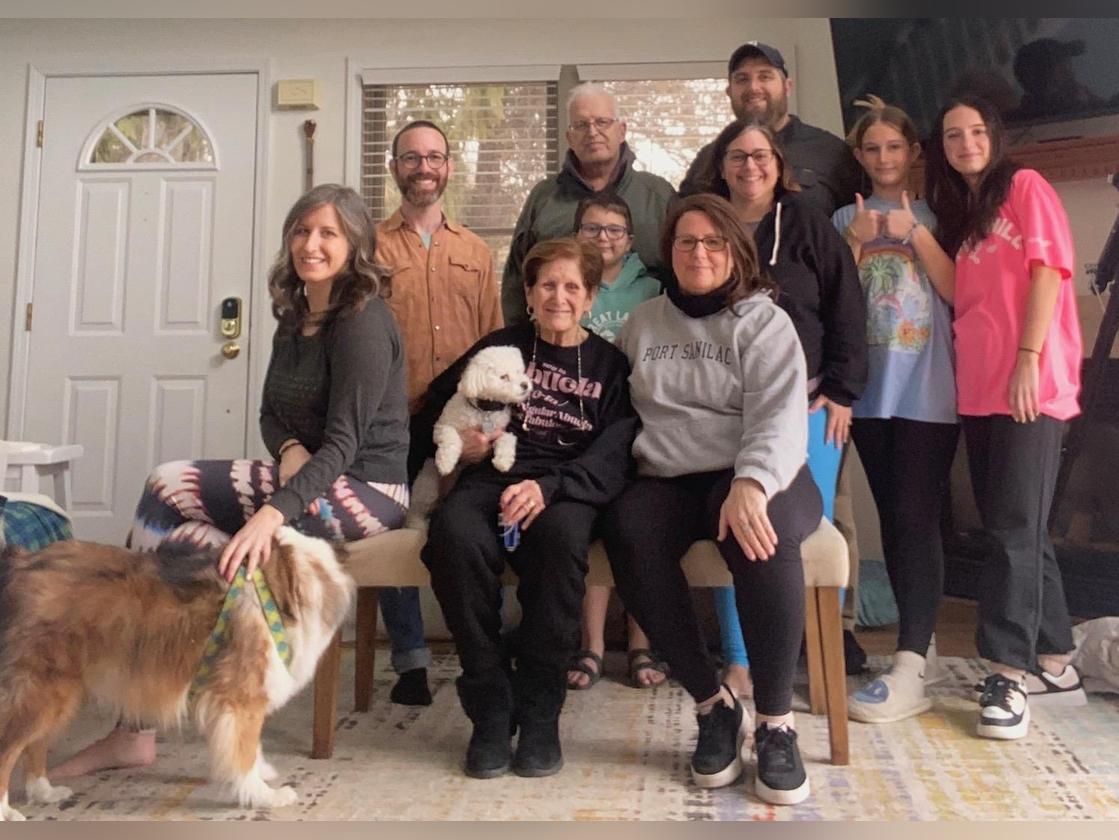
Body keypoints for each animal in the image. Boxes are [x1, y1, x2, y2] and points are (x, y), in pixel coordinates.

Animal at [0, 526, 355, 820]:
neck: (273, 585)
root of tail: (21, 562)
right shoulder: (241, 698)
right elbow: (243, 751)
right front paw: (263, 796)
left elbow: (250, 747)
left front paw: (261, 774)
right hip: (43, 690)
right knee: (8, 748)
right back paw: (7, 811)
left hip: (61, 691)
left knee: (35, 743)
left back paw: (44, 791)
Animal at [433, 345, 532, 476]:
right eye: (504, 377)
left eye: (518, 371)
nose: (525, 385)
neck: (486, 410)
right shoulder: (440, 426)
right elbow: (450, 436)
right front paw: (445, 463)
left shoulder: (499, 431)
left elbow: (507, 438)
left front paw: (503, 461)